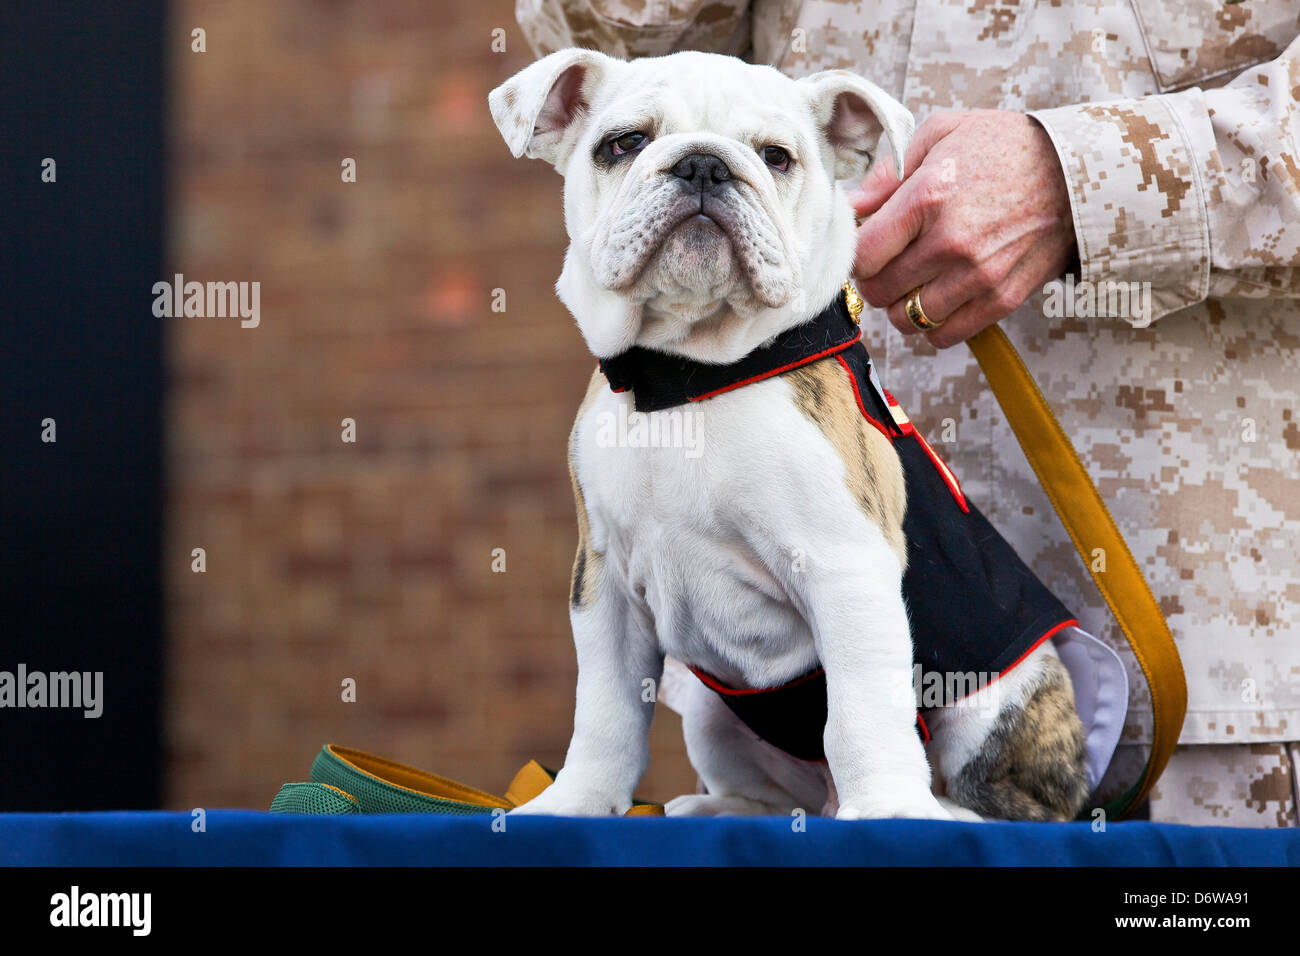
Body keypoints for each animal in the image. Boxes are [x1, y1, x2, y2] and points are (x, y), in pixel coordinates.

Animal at [488, 48, 1097, 822]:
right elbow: (605, 712)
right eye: (623, 144)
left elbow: (863, 709)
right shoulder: (603, 583)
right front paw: (574, 802)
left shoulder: (847, 565)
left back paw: (937, 810)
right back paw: (726, 809)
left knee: (1015, 802)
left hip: (994, 697)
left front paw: (890, 810)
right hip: (714, 711)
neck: (687, 377)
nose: (703, 166)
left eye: (776, 157)